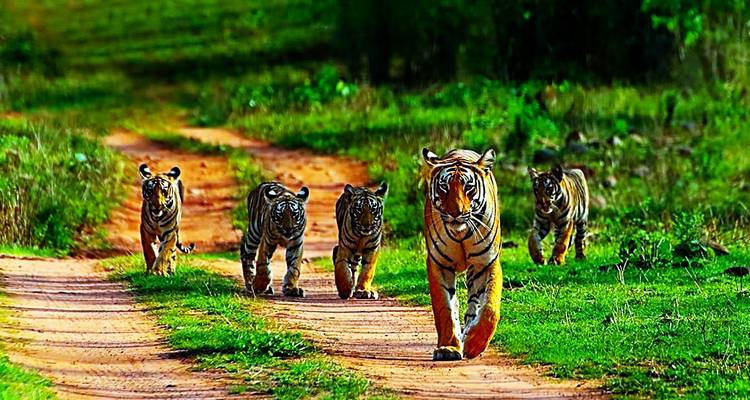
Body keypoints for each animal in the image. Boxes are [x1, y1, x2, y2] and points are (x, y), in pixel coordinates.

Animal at [422, 148, 503, 361]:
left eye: (469, 188)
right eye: (444, 187)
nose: (456, 213)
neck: (461, 232)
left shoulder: (487, 262)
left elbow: (490, 309)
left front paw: (474, 344)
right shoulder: (439, 264)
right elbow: (445, 309)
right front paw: (448, 348)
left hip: (475, 272)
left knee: (475, 305)